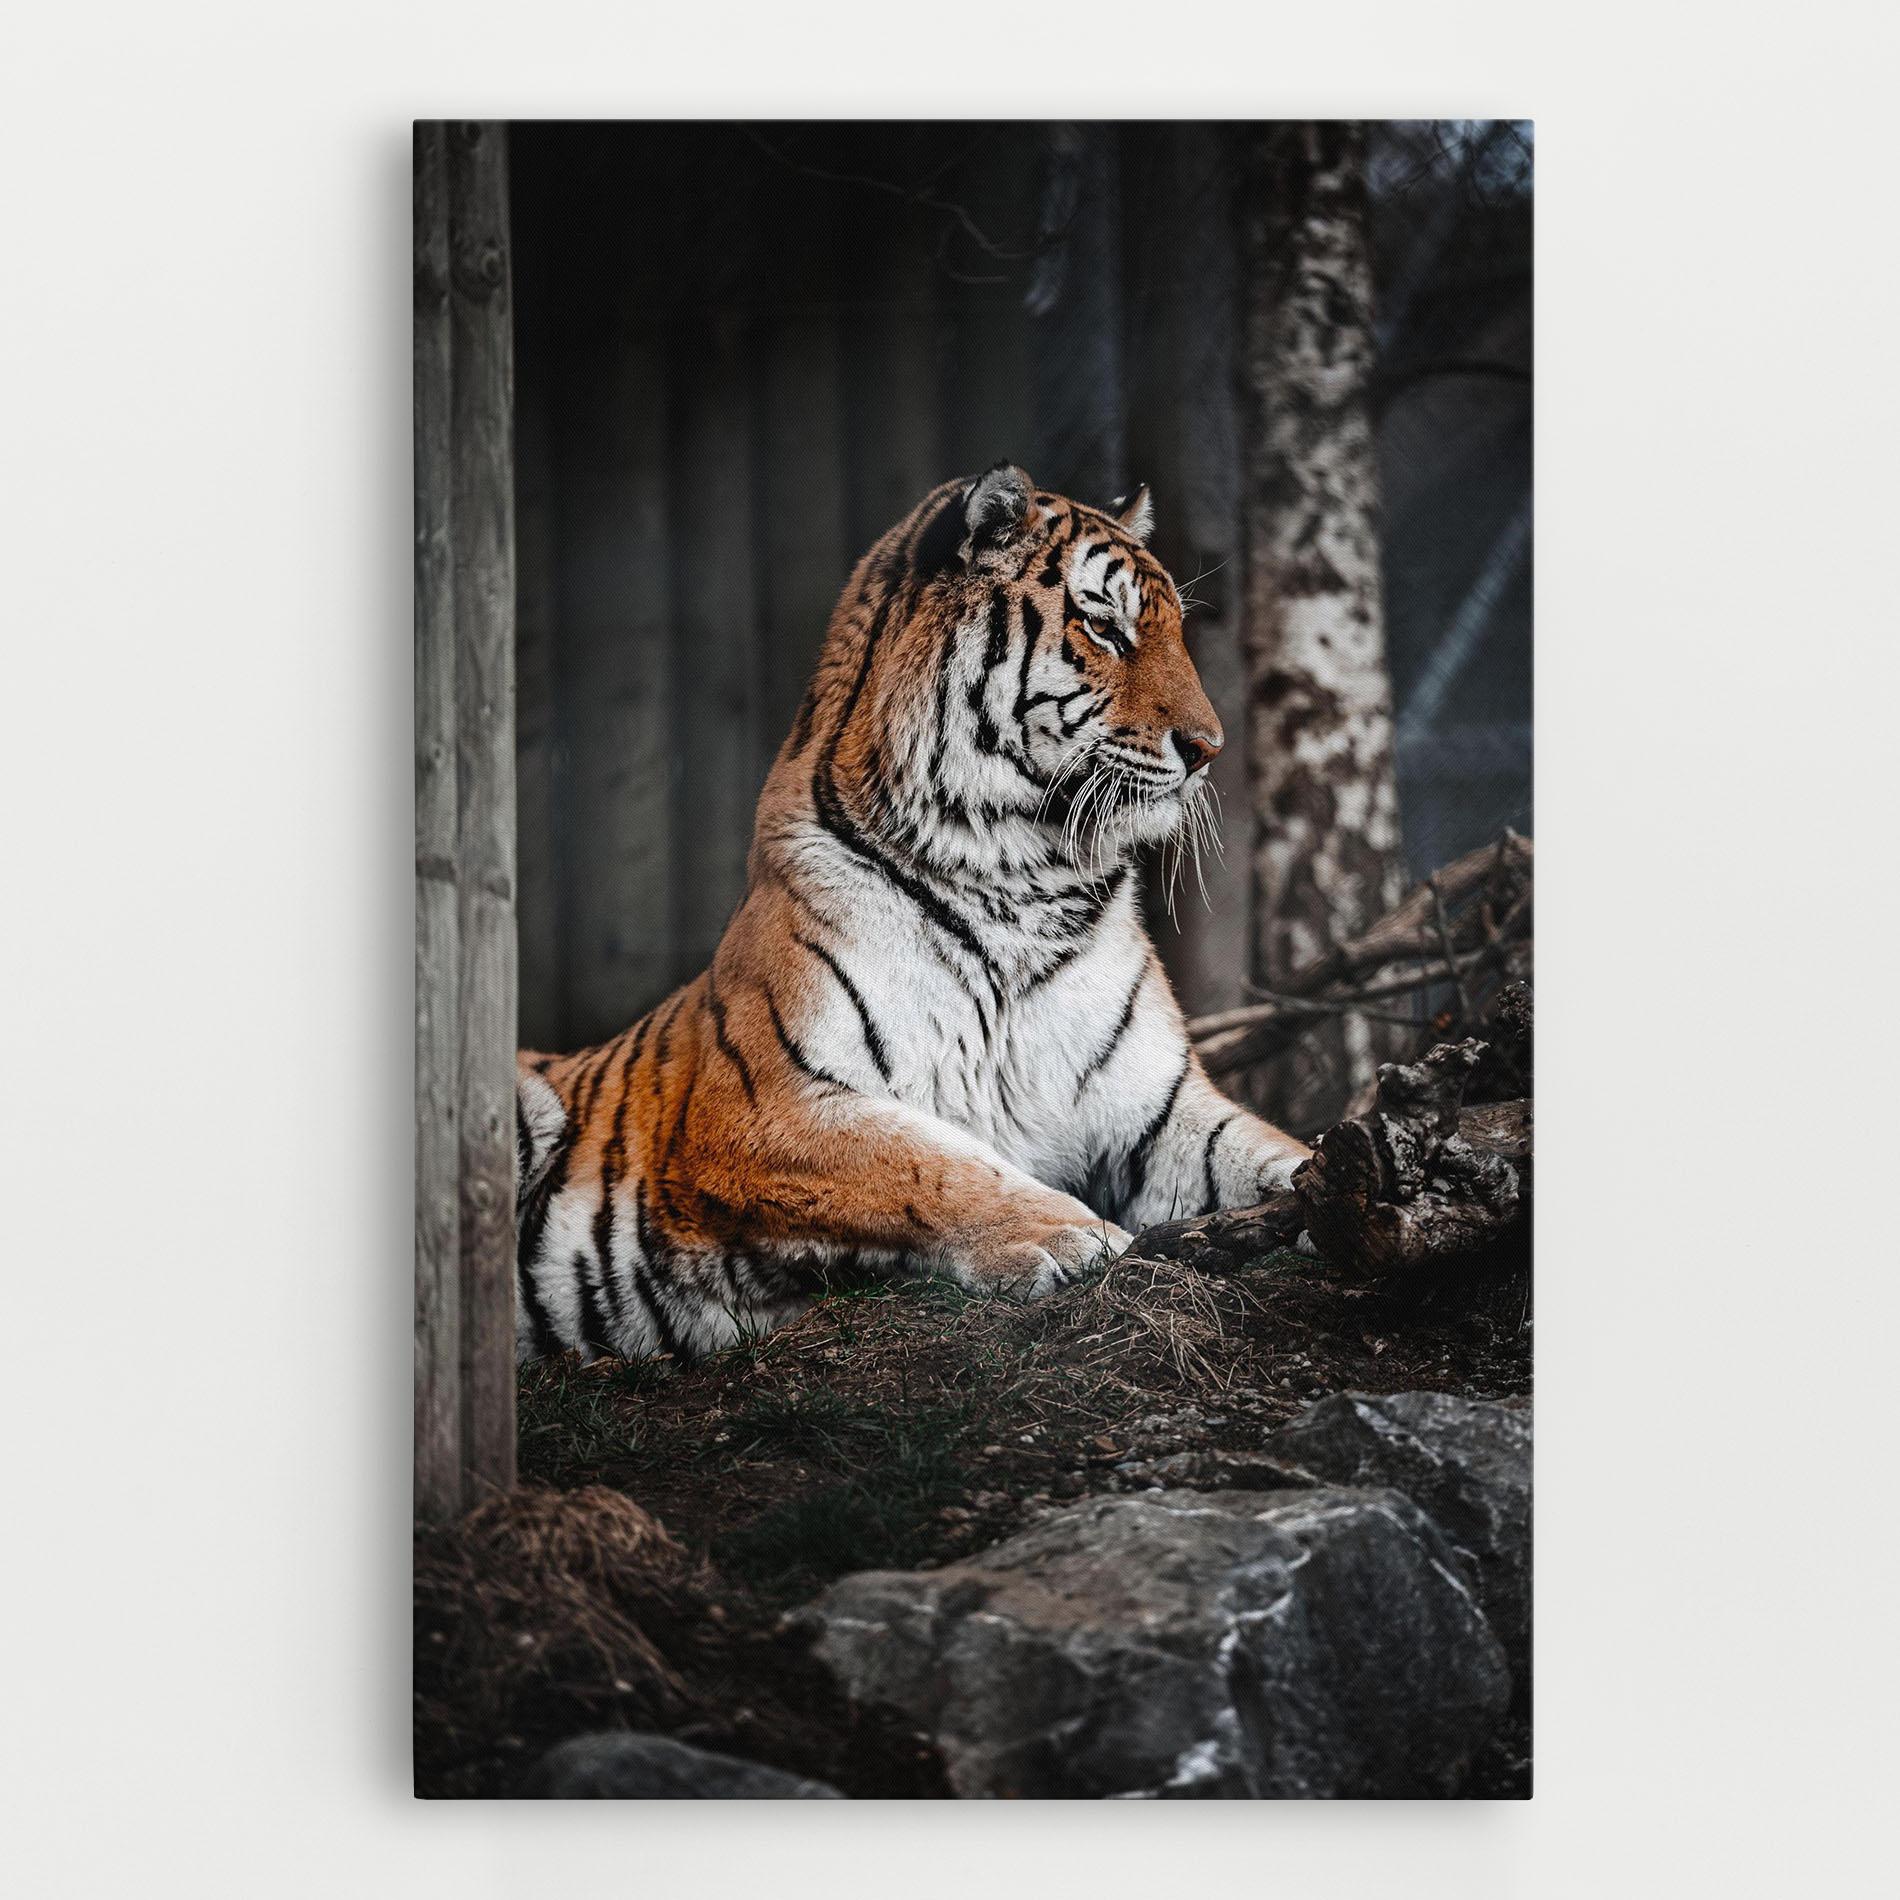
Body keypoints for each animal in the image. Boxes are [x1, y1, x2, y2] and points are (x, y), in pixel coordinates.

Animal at [513, 464, 1310, 1363]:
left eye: (1174, 628)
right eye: (1104, 626)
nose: (1209, 750)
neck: (1025, 878)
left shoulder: (1158, 1111)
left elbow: (1270, 1150)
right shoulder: (758, 1108)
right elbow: (928, 1164)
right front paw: (1068, 1235)